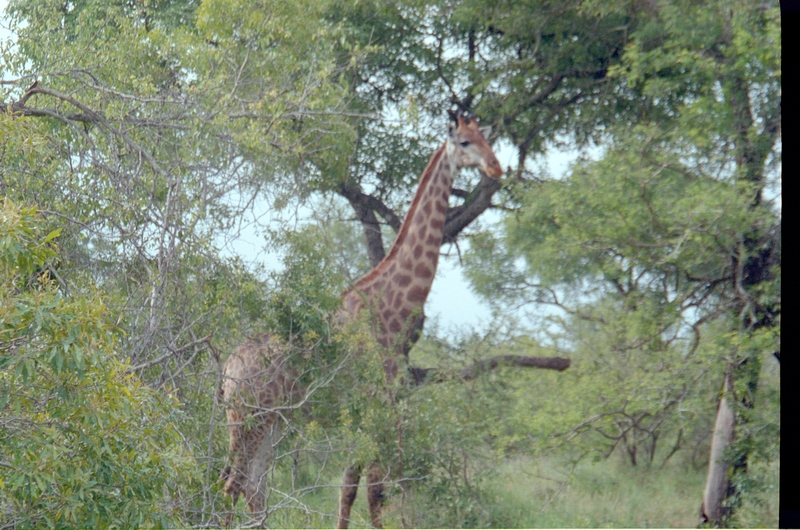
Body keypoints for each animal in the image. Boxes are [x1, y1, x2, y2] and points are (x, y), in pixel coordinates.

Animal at [219, 111, 504, 524]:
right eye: (465, 143)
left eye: (486, 138)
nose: (496, 167)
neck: (389, 308)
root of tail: (227, 368)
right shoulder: (379, 402)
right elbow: (375, 491)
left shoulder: (368, 409)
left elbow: (349, 488)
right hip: (249, 417)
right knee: (233, 486)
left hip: (273, 420)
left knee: (253, 485)